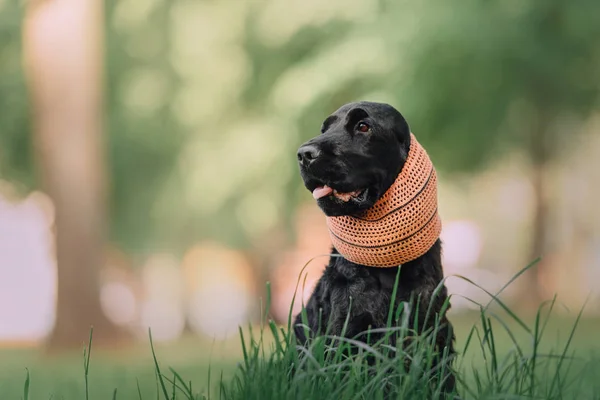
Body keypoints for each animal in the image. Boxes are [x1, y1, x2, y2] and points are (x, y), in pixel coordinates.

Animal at [292, 102, 454, 394]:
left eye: (363, 126)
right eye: (324, 129)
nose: (304, 154)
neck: (387, 268)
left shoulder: (432, 331)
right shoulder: (346, 330)